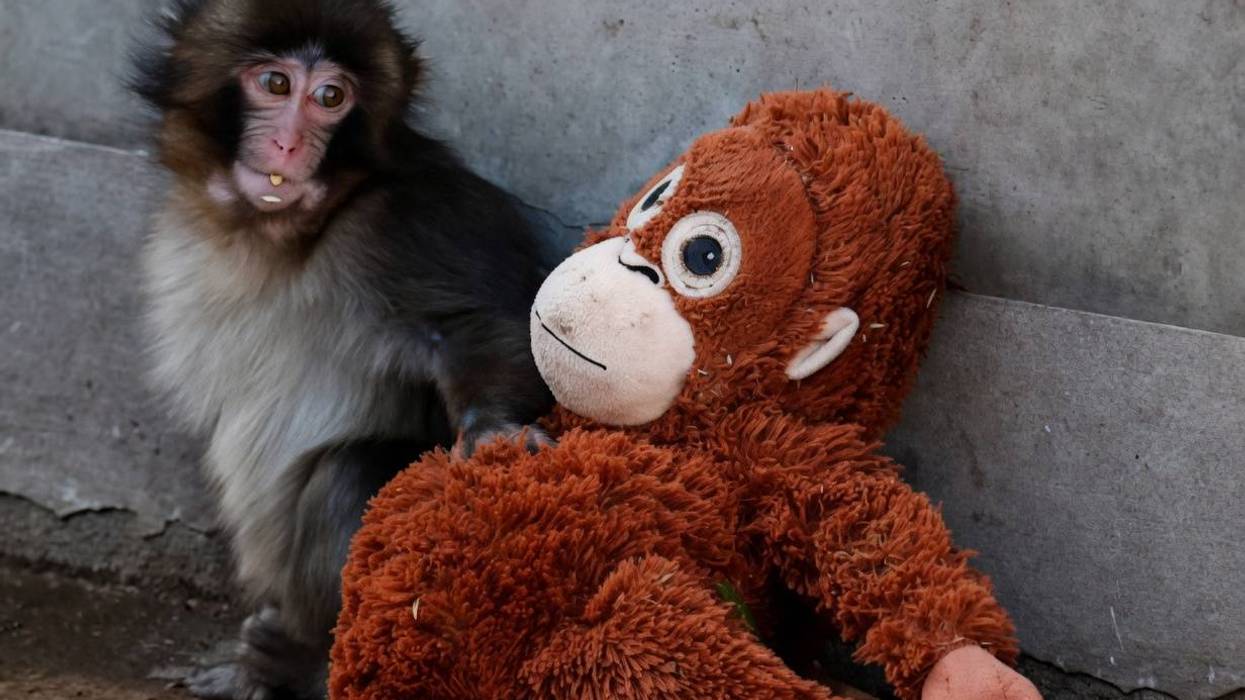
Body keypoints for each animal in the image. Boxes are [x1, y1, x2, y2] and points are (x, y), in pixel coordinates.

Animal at [130, 1, 554, 697]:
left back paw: (307, 663)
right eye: (276, 84)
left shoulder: (412, 219)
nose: (290, 144)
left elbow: (490, 326)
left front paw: (496, 430)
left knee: (349, 475)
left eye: (331, 98)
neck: (284, 236)